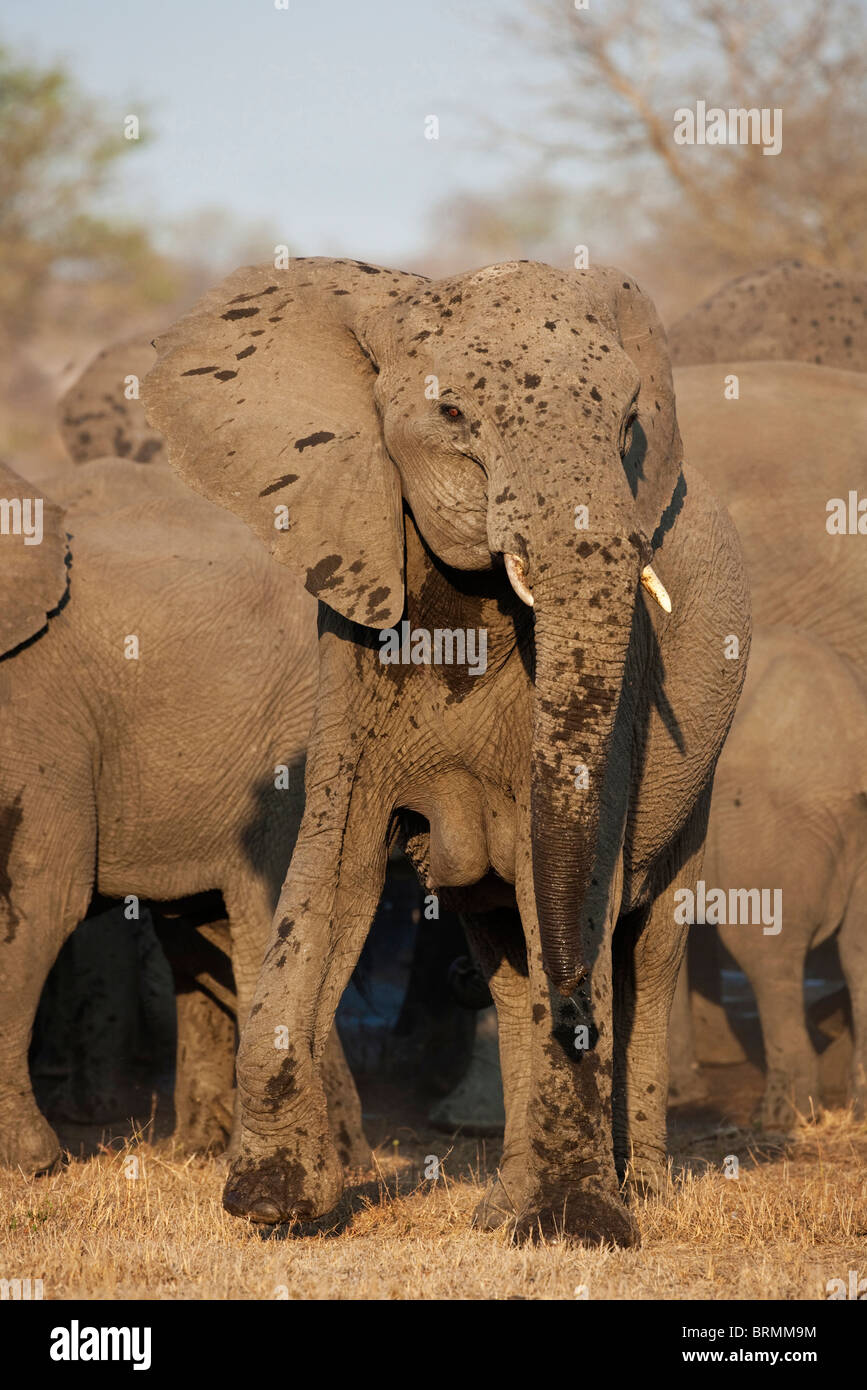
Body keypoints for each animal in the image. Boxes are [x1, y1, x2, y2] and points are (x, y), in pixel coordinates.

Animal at [0, 455, 369, 1173]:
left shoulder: (34, 704)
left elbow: (40, 895)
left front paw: (29, 1163)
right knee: (206, 938)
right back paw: (219, 1151)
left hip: (307, 741)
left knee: (260, 928)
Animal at [143, 255, 750, 1245]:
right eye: (455, 413)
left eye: (628, 423)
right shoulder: (353, 630)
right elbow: (335, 868)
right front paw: (273, 1207)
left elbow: (567, 885)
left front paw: (578, 1228)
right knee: (505, 960)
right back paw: (501, 1206)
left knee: (649, 945)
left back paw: (643, 1193)